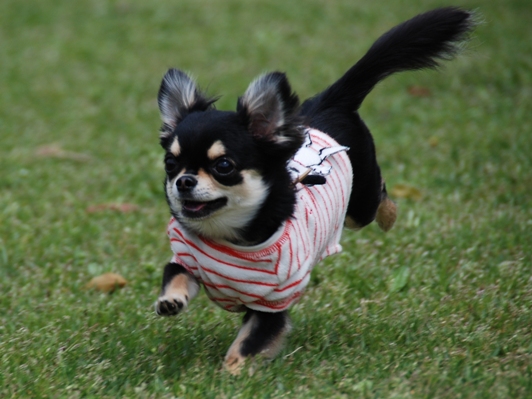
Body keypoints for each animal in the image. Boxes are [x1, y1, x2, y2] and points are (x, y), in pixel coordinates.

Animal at [153, 7, 474, 376]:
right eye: (170, 164)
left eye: (223, 166)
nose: (184, 181)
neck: (229, 238)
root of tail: (328, 103)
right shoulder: (187, 259)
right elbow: (175, 275)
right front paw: (171, 300)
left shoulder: (273, 303)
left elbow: (249, 343)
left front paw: (230, 373)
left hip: (359, 205)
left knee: (379, 197)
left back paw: (390, 216)